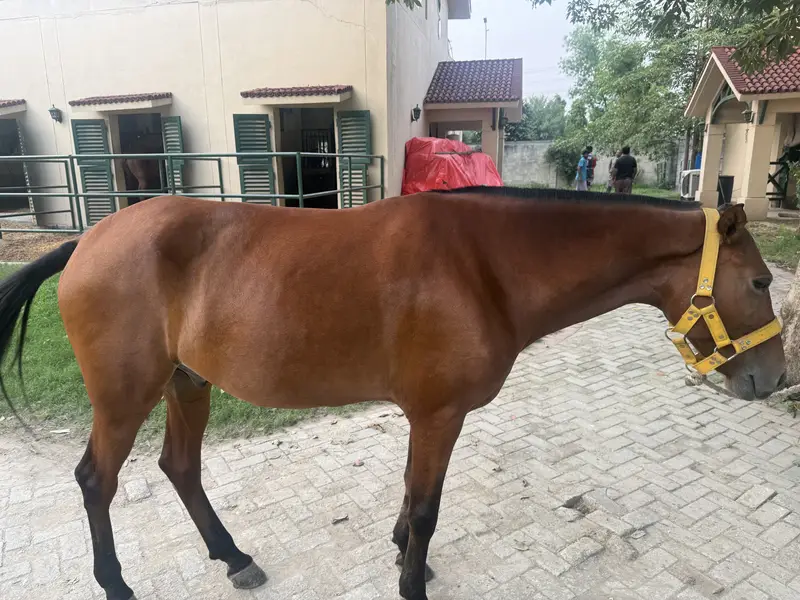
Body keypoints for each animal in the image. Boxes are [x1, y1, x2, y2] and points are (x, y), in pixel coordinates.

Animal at [0, 186, 785, 600]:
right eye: (760, 282)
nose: (775, 378)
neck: (483, 265)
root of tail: (86, 241)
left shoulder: (425, 416)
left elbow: (413, 497)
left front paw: (405, 553)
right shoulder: (440, 415)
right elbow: (429, 507)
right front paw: (413, 581)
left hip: (186, 386)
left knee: (180, 469)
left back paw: (234, 556)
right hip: (123, 398)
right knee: (97, 482)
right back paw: (117, 583)